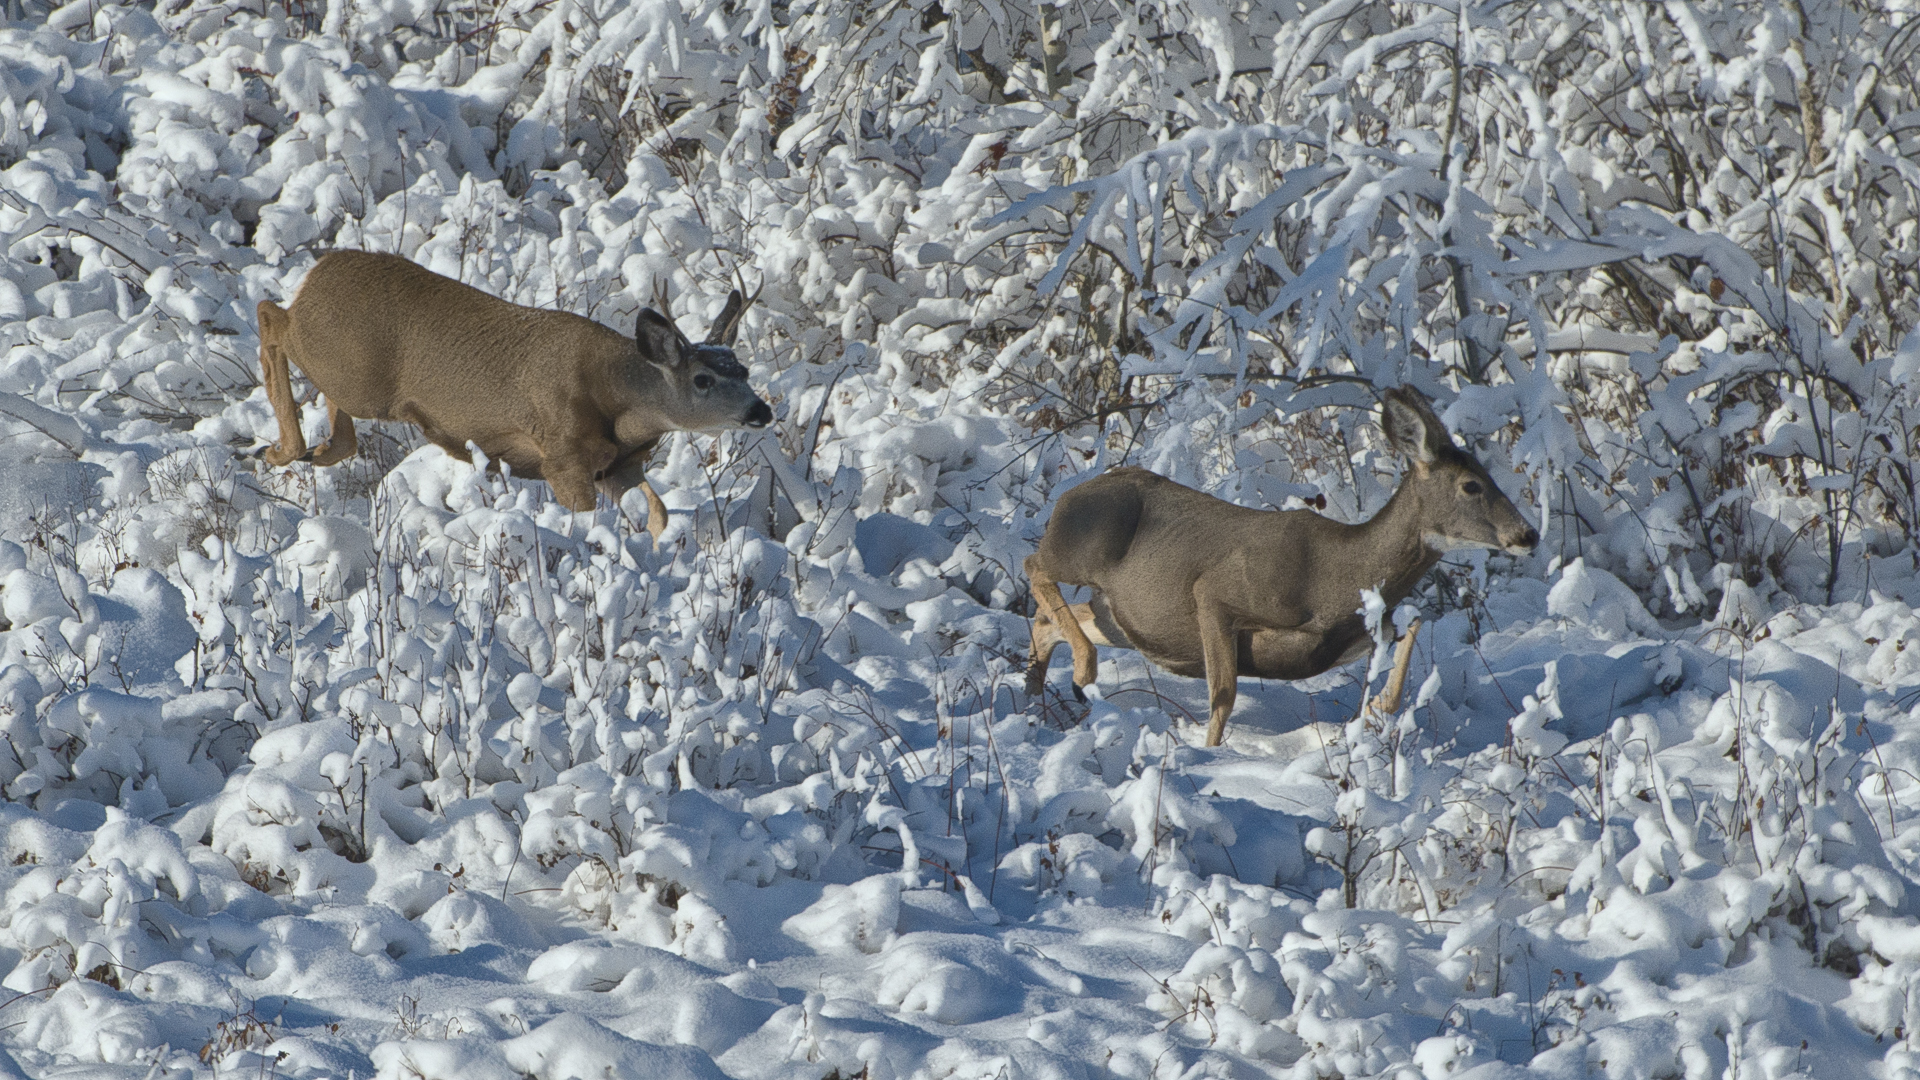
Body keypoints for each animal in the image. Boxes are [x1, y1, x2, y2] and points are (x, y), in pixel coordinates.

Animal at [255, 251, 771, 538]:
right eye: (703, 379)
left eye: (744, 369)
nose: (761, 410)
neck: (618, 399)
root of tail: (319, 270)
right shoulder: (561, 458)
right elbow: (588, 519)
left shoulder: (619, 465)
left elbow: (660, 513)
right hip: (353, 371)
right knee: (270, 315)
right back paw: (279, 450)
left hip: (343, 372)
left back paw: (318, 449)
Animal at [1029, 382, 1536, 745]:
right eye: (1471, 484)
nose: (1527, 535)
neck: (1336, 576)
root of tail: (1068, 495)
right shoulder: (1215, 591)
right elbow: (1223, 695)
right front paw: (1209, 758)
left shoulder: (1362, 633)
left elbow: (1404, 647)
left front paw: (1371, 713)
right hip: (1081, 547)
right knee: (1033, 564)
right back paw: (1081, 673)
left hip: (1127, 616)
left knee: (1052, 619)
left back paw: (1035, 701)